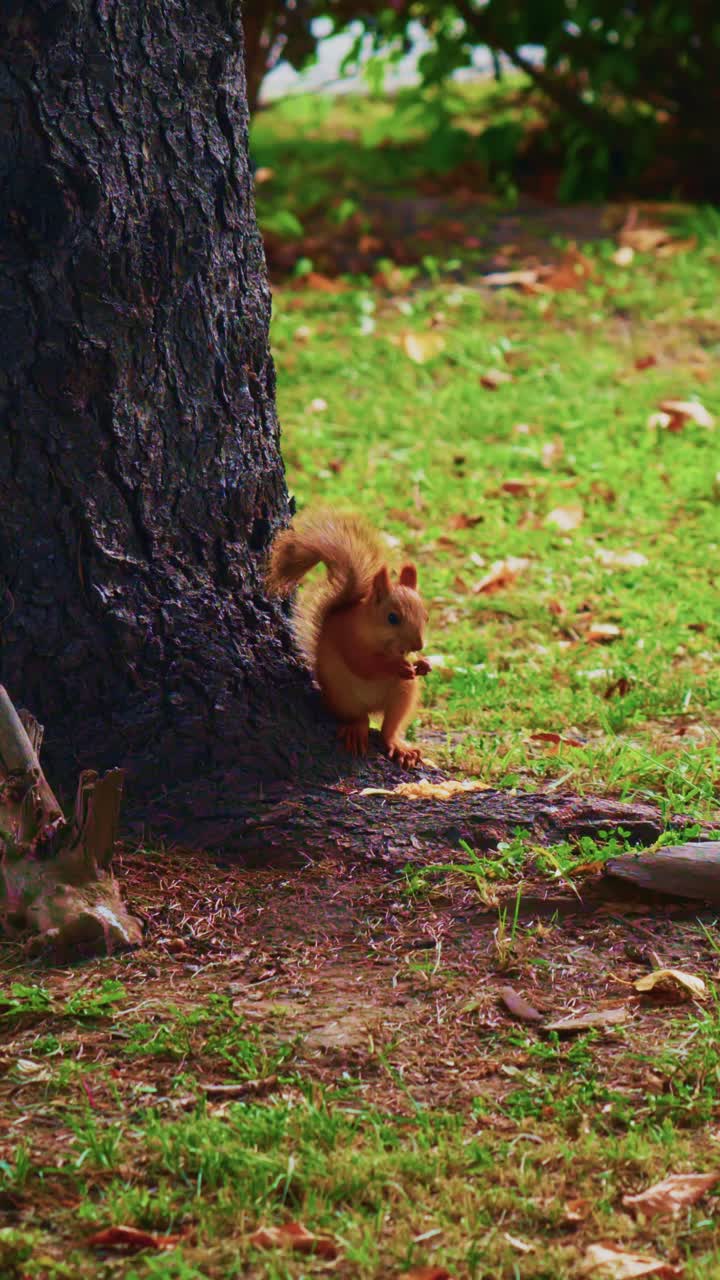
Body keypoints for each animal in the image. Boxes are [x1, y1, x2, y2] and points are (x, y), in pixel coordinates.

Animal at [267, 510, 430, 768]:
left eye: (426, 616)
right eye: (392, 618)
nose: (418, 645)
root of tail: (373, 707)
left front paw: (423, 664)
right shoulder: (347, 638)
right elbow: (363, 664)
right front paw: (397, 666)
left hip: (404, 694)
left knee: (390, 727)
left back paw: (399, 746)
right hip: (343, 696)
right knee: (358, 718)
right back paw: (356, 730)